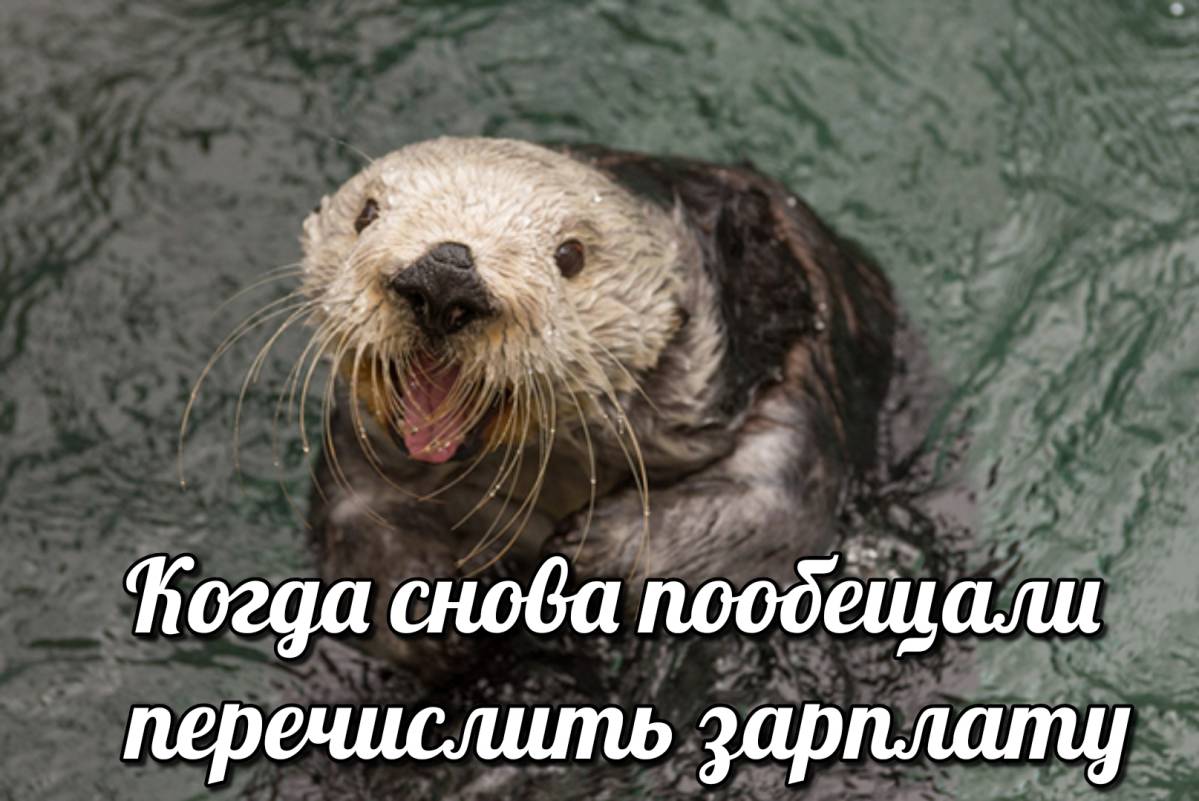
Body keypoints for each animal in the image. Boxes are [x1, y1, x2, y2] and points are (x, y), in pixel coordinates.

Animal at [297, 137, 897, 674]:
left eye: (571, 255)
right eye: (367, 213)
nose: (446, 272)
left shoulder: (787, 397)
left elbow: (771, 508)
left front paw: (585, 552)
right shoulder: (363, 456)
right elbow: (360, 528)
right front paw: (438, 607)